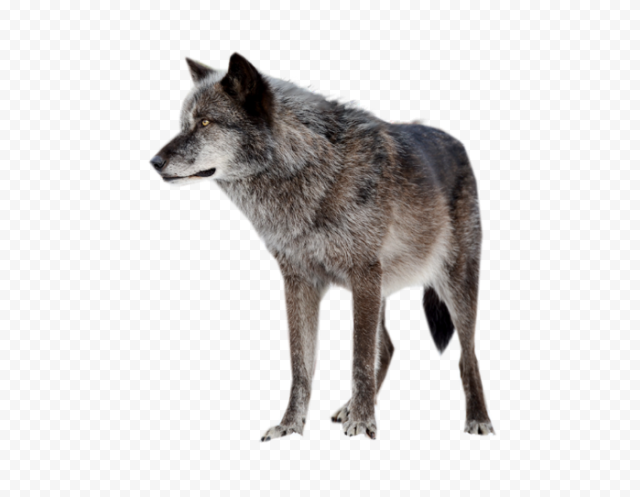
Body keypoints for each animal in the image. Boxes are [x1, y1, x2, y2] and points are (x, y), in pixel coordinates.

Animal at [150, 53, 494, 440]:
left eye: (205, 122)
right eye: (184, 124)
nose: (154, 162)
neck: (309, 171)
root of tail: (458, 143)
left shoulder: (363, 275)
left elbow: (359, 358)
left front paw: (362, 424)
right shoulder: (299, 281)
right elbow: (301, 366)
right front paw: (290, 427)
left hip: (455, 285)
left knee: (467, 354)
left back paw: (478, 420)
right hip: (385, 290)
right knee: (389, 347)